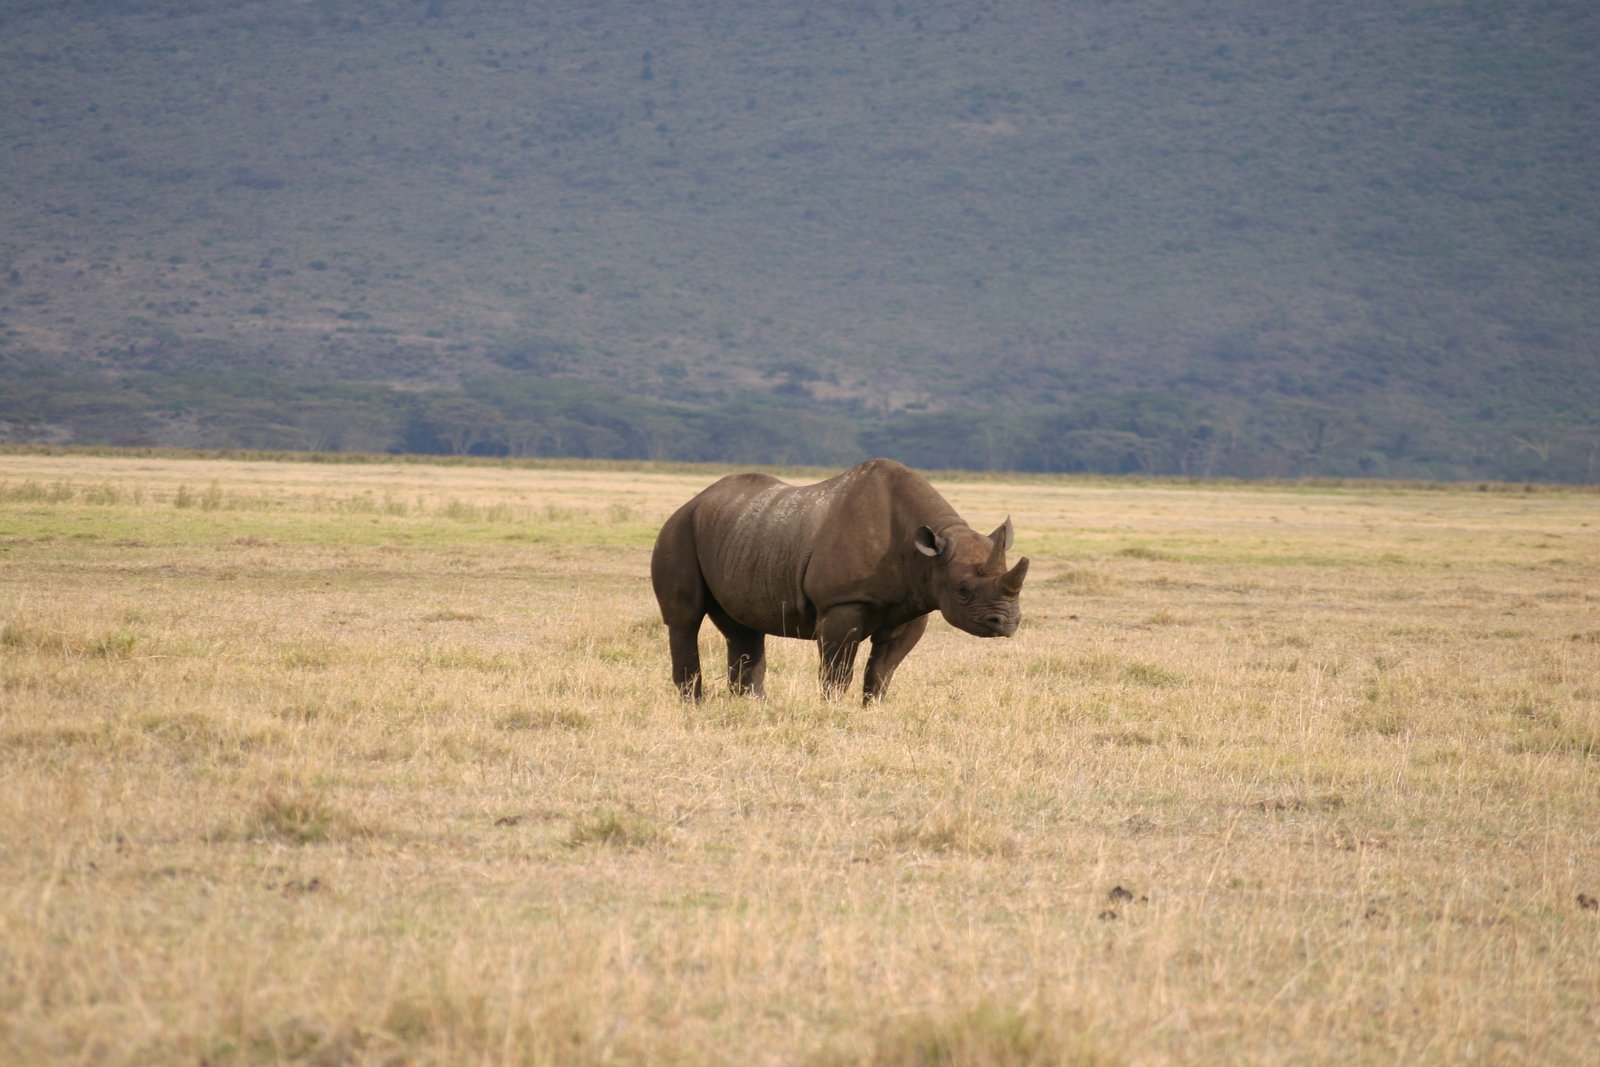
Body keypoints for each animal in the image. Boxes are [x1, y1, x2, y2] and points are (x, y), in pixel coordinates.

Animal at [650, 458, 1029, 702]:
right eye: (963, 591)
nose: (1007, 623)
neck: (929, 553)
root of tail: (694, 500)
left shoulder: (914, 602)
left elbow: (883, 668)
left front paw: (873, 709)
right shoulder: (842, 602)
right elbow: (837, 668)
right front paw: (831, 709)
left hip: (740, 533)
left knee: (742, 626)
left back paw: (751, 705)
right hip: (678, 530)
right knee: (684, 619)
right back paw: (693, 705)